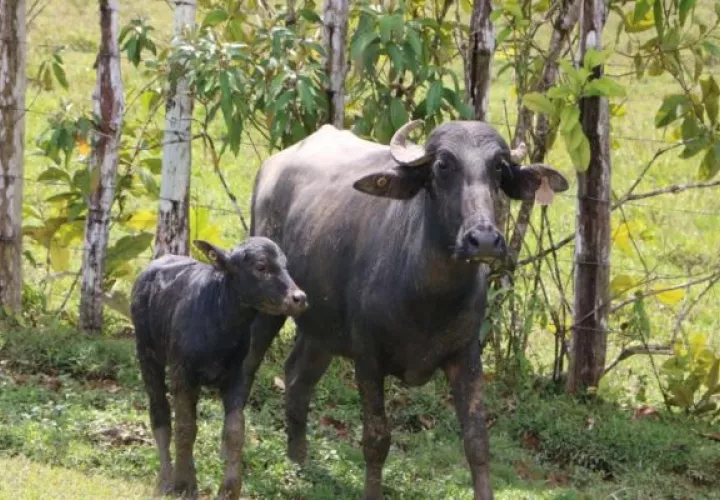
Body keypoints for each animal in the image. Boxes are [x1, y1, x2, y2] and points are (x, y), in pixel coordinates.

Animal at [241, 120, 569, 499]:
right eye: (442, 165)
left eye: (499, 168)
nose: (484, 240)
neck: (429, 298)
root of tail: (270, 168)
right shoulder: (368, 358)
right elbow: (376, 440)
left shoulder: (466, 356)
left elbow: (477, 442)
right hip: (268, 309)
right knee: (248, 366)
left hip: (321, 330)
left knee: (296, 378)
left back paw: (298, 462)